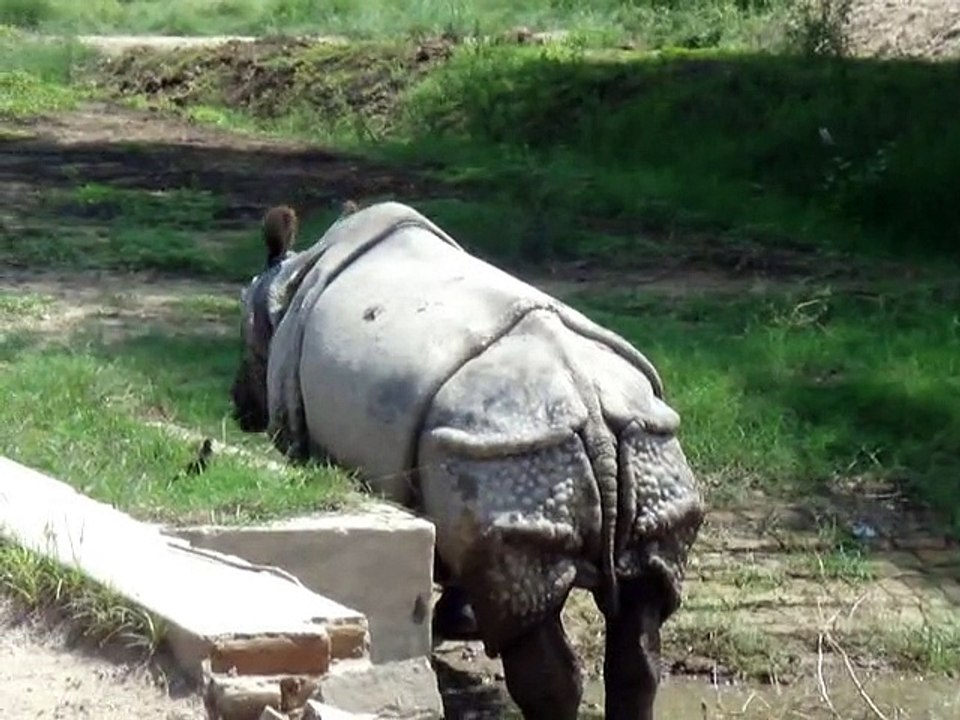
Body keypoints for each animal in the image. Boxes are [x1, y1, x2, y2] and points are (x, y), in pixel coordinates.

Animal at [230, 201, 705, 720]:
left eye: (244, 345)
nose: (239, 409)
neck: (284, 285)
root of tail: (594, 415)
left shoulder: (295, 424)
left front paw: (453, 625)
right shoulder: (449, 479)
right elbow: (458, 553)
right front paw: (459, 622)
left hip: (512, 452)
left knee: (533, 629)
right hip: (635, 447)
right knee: (641, 615)